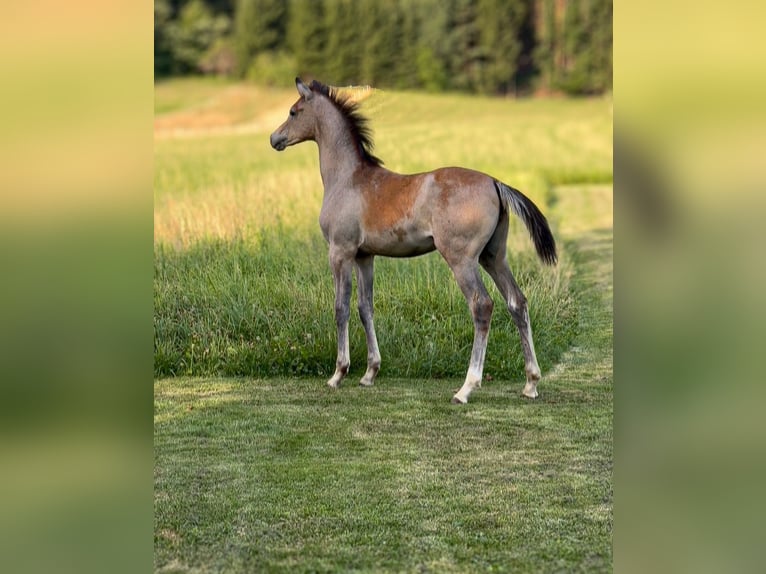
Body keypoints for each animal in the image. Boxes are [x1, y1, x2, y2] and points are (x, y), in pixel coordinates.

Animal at [272, 77, 560, 404]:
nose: (274, 138)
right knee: (517, 302)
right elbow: (365, 307)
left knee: (482, 305)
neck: (347, 178)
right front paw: (369, 373)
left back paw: (466, 388)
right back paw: (531, 383)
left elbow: (340, 307)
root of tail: (495, 183)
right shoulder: (364, 256)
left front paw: (338, 374)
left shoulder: (340, 252)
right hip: (494, 257)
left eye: (294, 112)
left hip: (462, 260)